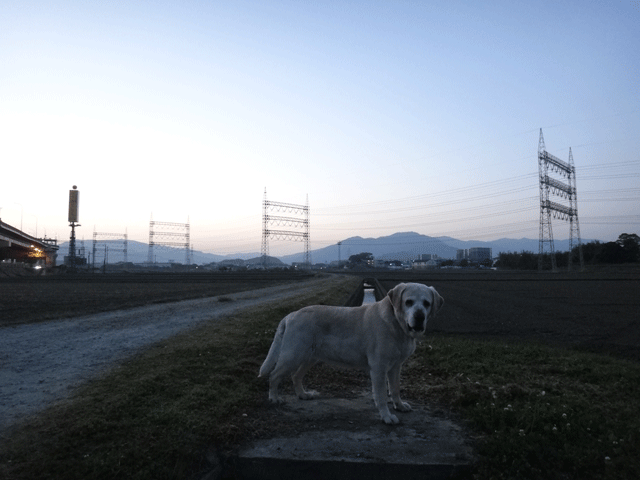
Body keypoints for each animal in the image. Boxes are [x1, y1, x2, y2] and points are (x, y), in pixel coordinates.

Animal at [260, 282, 444, 424]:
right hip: (292, 355)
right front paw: (386, 416)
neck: (397, 325)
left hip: (309, 357)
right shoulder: (379, 367)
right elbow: (381, 396)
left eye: (427, 303)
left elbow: (395, 388)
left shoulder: (395, 366)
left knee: (295, 376)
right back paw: (274, 398)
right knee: (274, 375)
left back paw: (303, 394)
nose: (419, 317)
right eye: (408, 302)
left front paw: (399, 405)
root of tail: (290, 314)